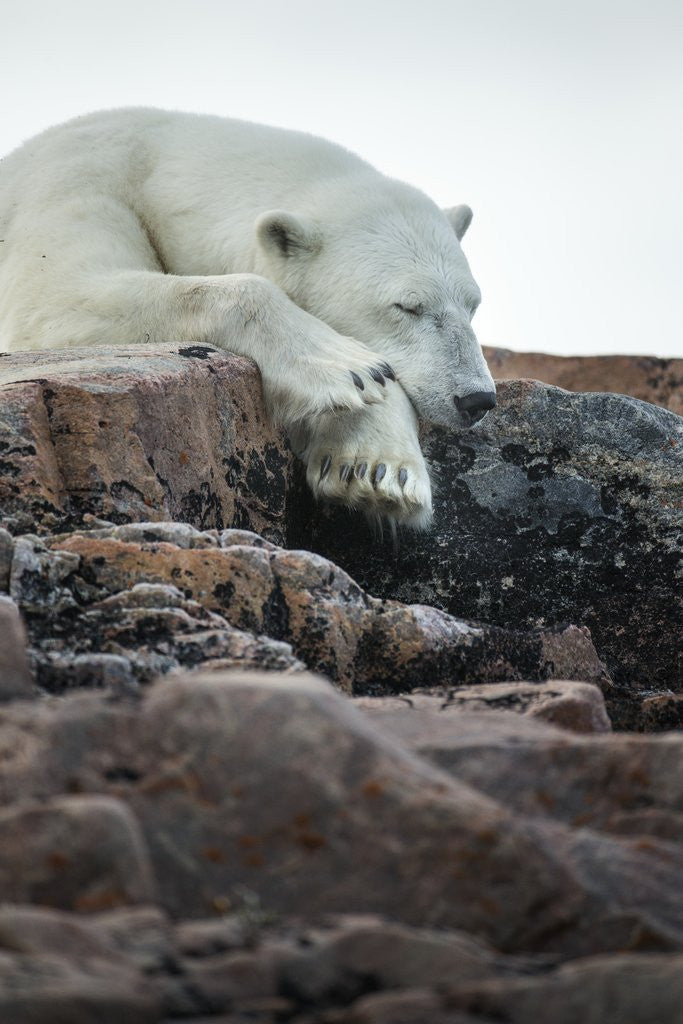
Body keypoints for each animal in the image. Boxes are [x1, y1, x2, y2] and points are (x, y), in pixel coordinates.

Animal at [0, 108, 496, 529]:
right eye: (407, 306)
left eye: (473, 304)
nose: (477, 399)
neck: (161, 163)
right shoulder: (76, 181)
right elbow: (53, 298)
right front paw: (346, 365)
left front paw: (378, 469)